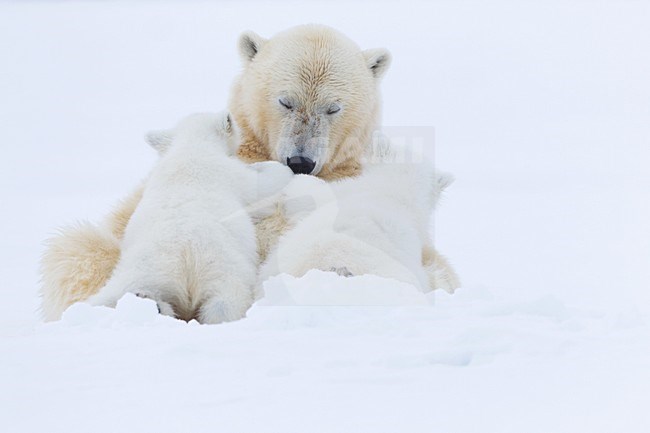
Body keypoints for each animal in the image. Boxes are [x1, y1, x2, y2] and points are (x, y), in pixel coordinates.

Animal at [84, 113, 292, 322]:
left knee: (112, 294)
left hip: (141, 271)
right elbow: (264, 185)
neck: (190, 148)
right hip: (223, 268)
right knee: (226, 302)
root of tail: (184, 266)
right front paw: (274, 168)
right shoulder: (230, 173)